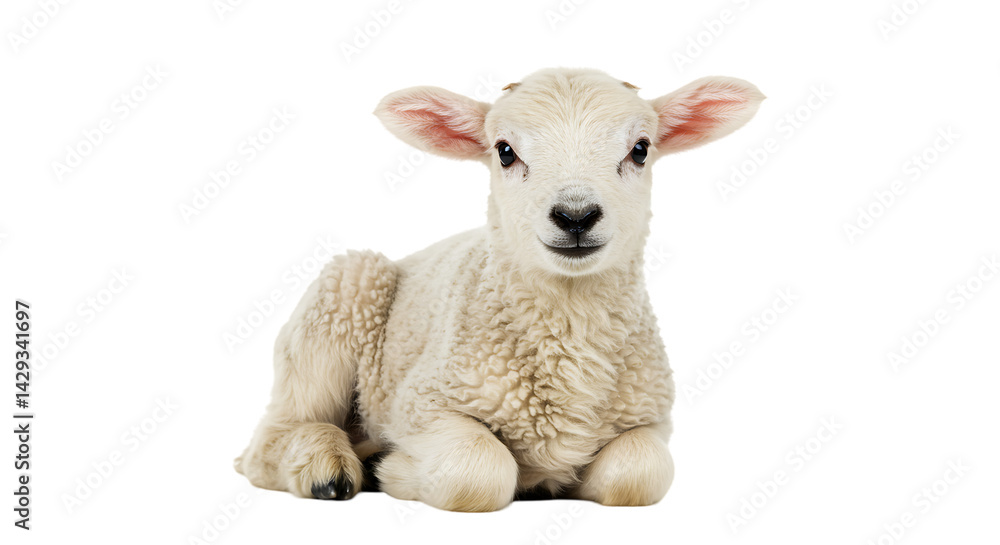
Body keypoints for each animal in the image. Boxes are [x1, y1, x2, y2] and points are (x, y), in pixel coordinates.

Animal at [235, 68, 764, 511]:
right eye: (505, 151)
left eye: (640, 149)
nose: (575, 216)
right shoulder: (419, 404)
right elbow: (478, 471)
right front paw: (393, 471)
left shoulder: (649, 418)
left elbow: (639, 474)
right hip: (343, 296)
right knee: (274, 437)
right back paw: (330, 468)